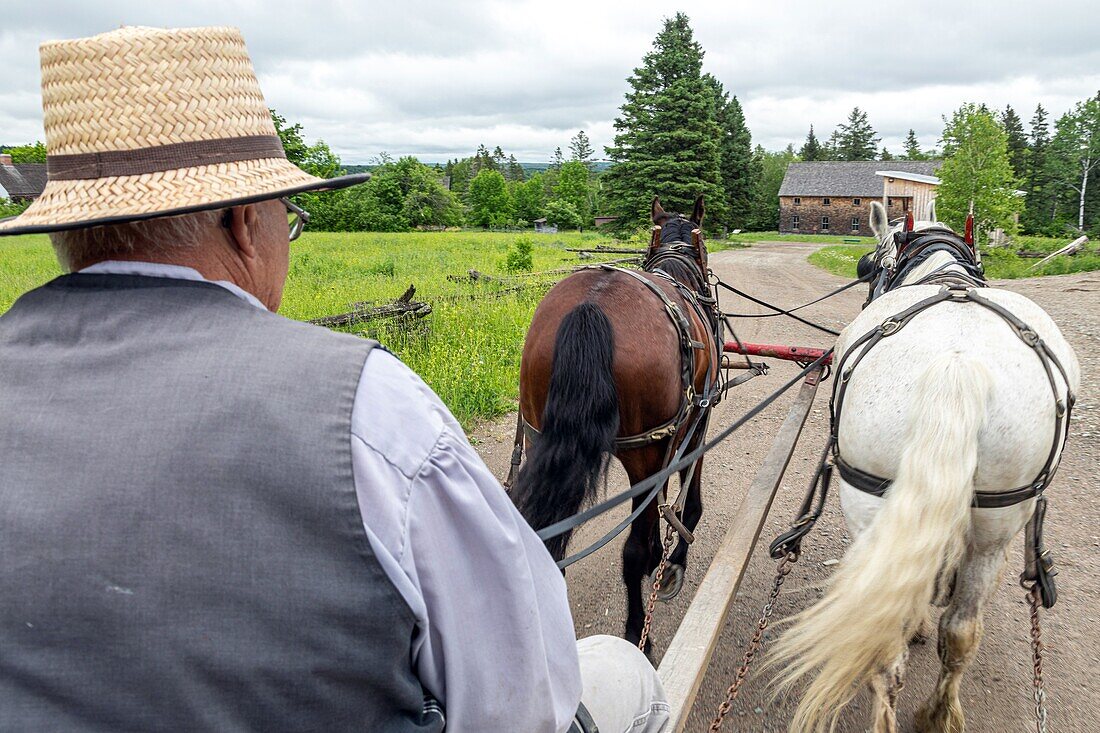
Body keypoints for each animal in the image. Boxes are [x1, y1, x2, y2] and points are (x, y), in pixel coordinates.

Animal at [512, 193, 721, 647]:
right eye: (705, 244)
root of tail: (592, 307)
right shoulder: (697, 422)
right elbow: (687, 505)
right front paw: (672, 561)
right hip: (644, 453)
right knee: (632, 549)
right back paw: (636, 629)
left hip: (538, 437)